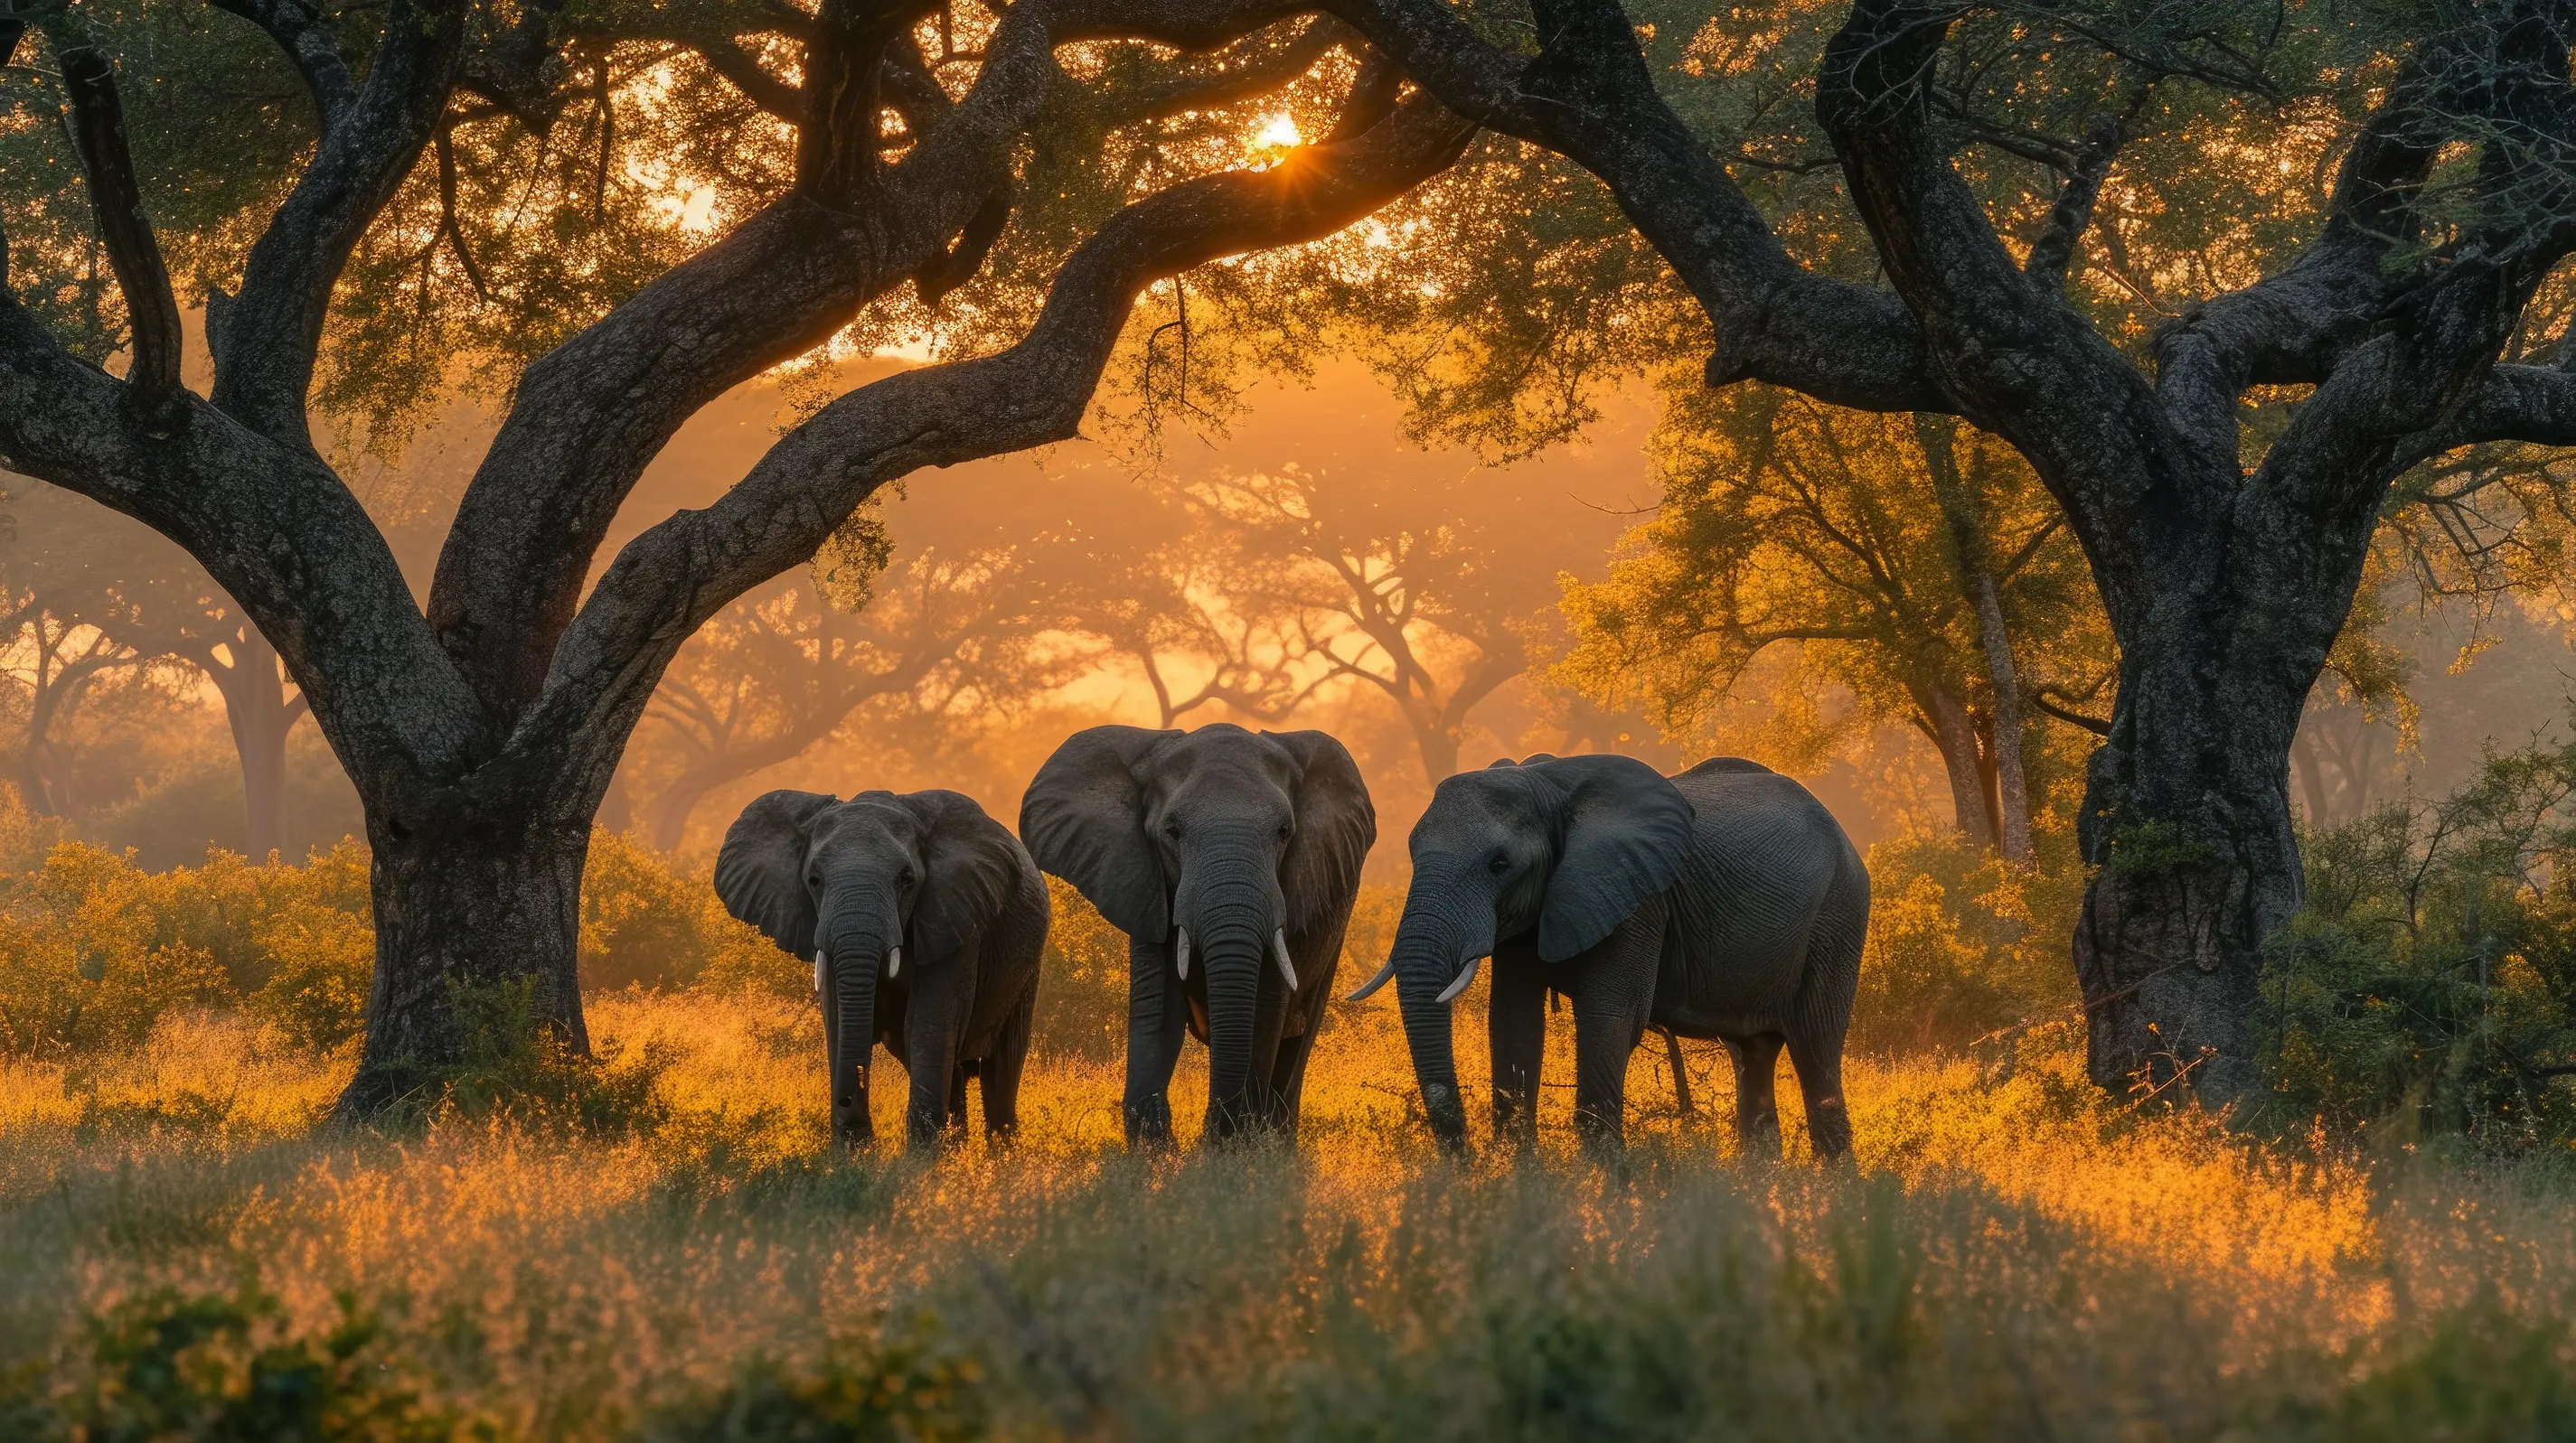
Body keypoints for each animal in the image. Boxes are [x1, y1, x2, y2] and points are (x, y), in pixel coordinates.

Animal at [715, 787, 1047, 1151]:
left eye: (907, 880)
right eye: (814, 881)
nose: (847, 1098)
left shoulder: (956, 916)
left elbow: (926, 1026)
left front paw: (919, 1163)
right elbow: (838, 1019)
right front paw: (858, 1157)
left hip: (1026, 973)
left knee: (1000, 1071)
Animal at [1021, 723, 1375, 1146]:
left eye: (1284, 832)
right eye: (1172, 832)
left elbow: (1265, 1011)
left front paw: (1231, 1146)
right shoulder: (1146, 885)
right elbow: (1159, 1008)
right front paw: (1157, 1150)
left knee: (1298, 1037)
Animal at [1348, 754, 1868, 1158]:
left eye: (1499, 865)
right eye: (1411, 853)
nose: (1467, 1161)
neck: (1545, 785)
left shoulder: (1638, 898)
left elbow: (1611, 1018)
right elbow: (1514, 1022)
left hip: (1838, 916)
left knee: (1816, 1049)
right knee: (1754, 1056)